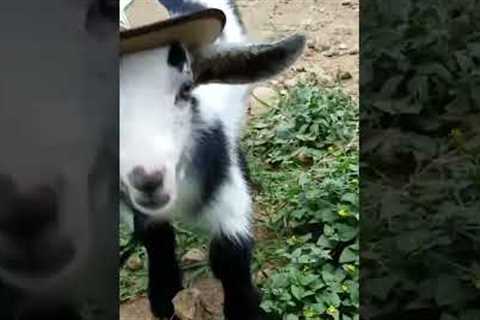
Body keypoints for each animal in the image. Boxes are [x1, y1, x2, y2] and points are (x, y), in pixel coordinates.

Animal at [120, 1, 306, 318]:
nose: (148, 180)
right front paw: (163, 295)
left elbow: (229, 257)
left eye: (186, 89)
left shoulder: (228, 199)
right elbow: (155, 236)